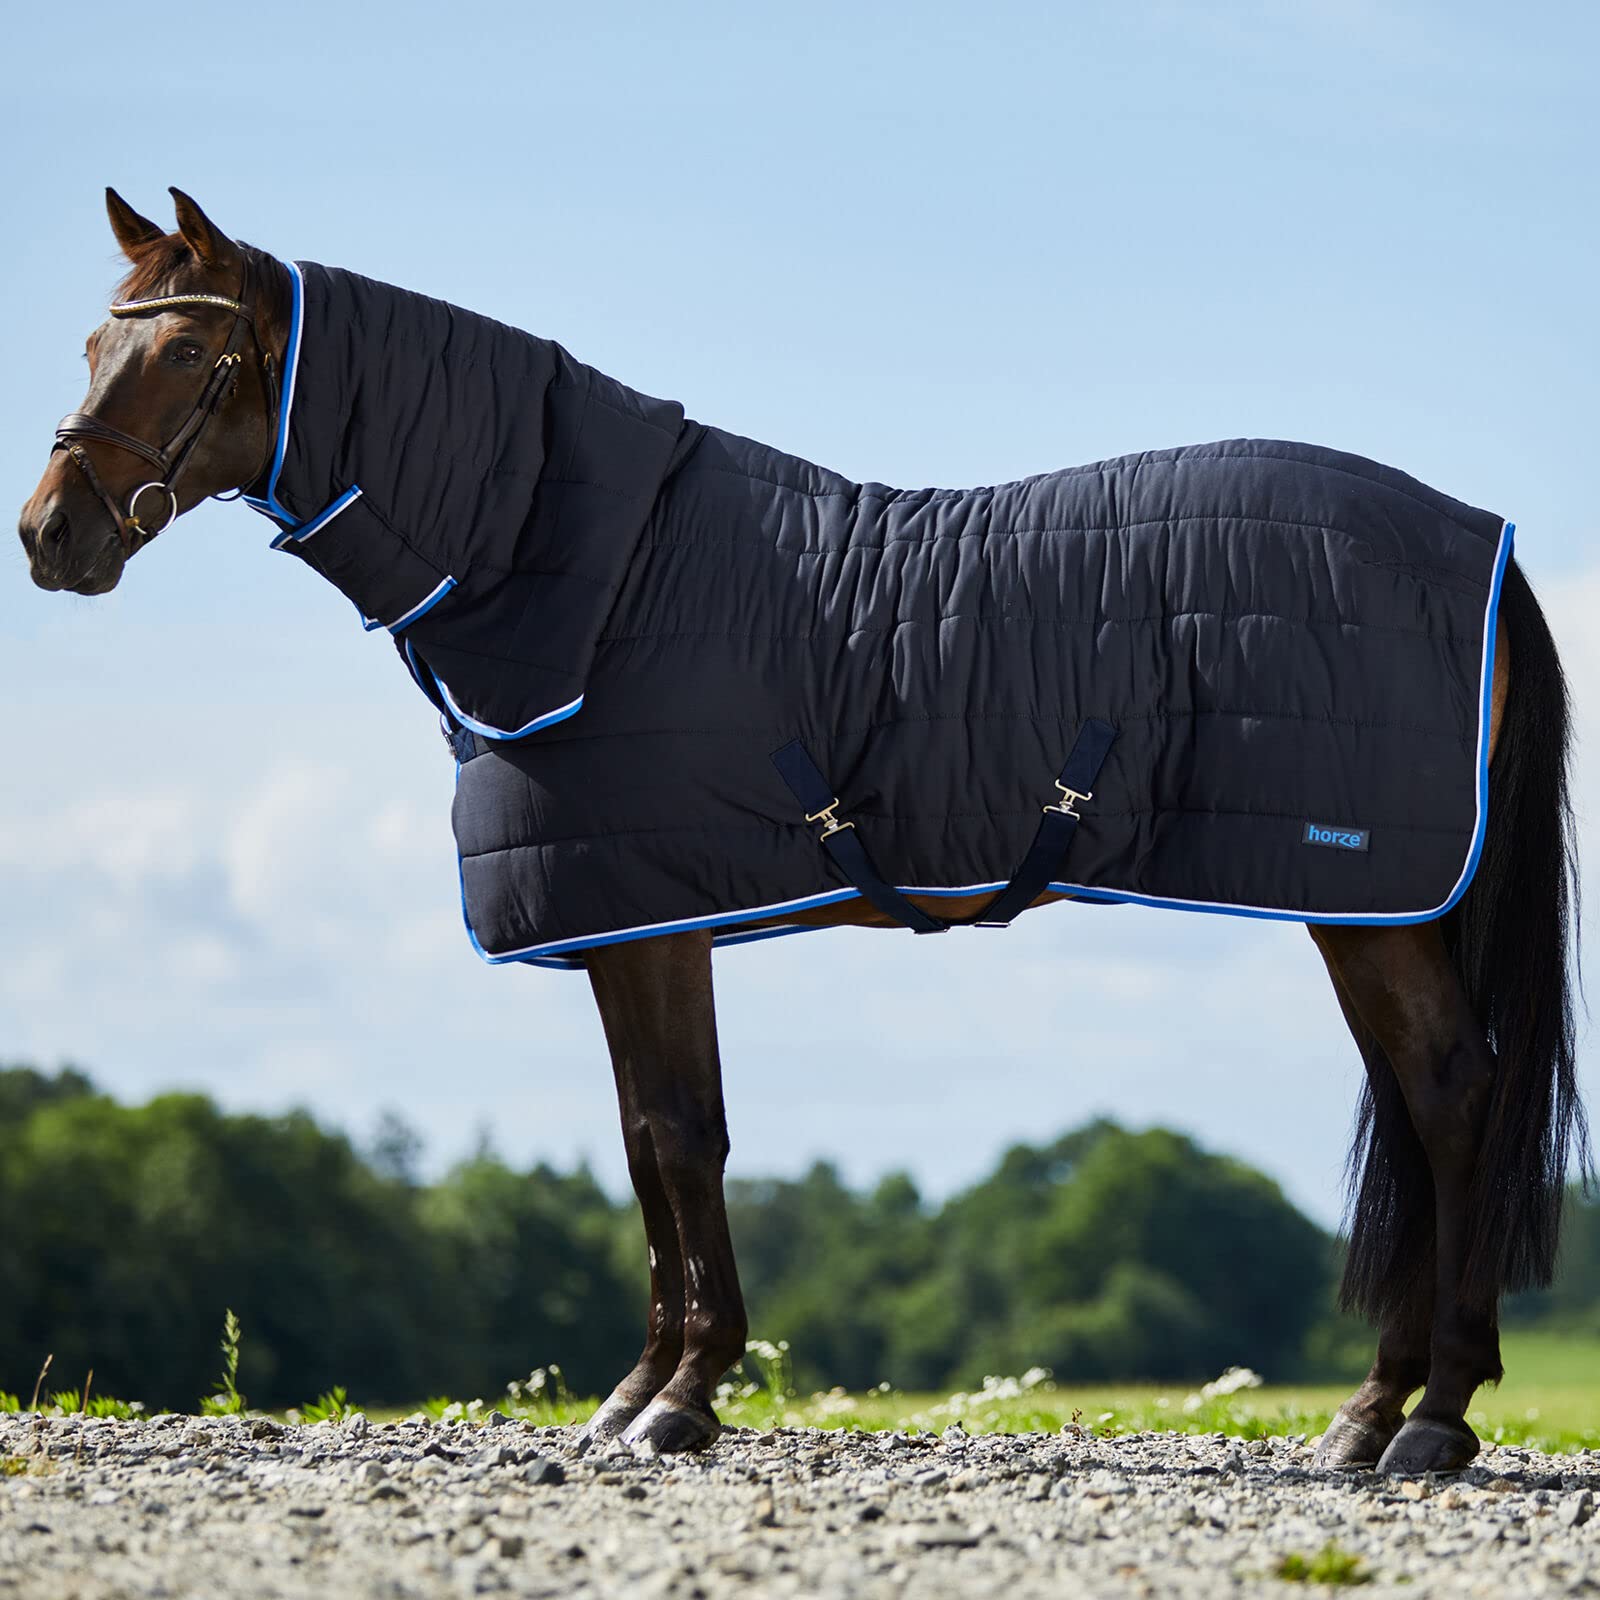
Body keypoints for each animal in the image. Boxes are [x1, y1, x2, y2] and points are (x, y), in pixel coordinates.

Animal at [17, 188, 1588, 1474]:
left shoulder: (646, 923)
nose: (48, 537)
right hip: (1382, 908)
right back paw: (1370, 1414)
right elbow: (649, 1141)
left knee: (1450, 1096)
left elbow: (678, 1135)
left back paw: (1433, 1420)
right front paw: (639, 1393)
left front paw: (678, 1398)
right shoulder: (634, 918)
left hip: (1364, 905)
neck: (583, 571)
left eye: (185, 353)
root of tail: (1480, 542)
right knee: (1421, 1109)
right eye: (95, 344)